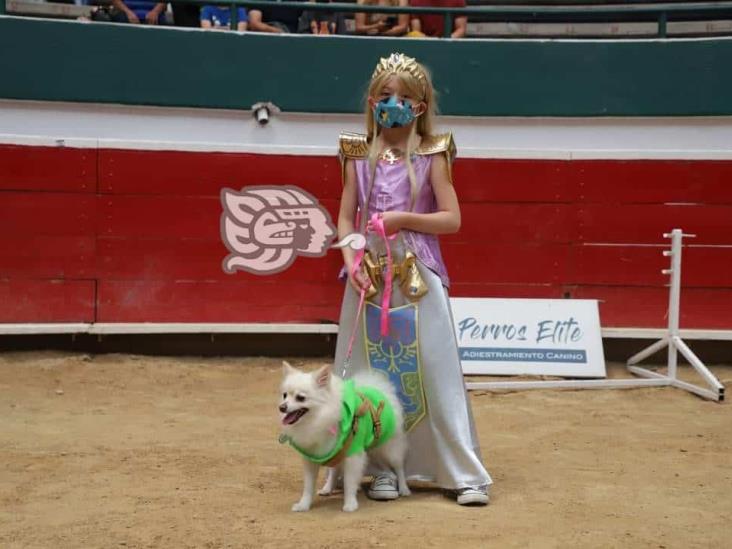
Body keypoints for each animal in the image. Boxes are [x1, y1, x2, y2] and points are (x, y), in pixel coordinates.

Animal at [278, 362, 408, 512]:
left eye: (300, 397)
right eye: (284, 395)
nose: (281, 407)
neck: (320, 418)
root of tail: (378, 388)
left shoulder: (353, 455)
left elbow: (349, 481)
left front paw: (350, 504)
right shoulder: (311, 458)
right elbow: (308, 487)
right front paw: (303, 505)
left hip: (389, 449)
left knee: (399, 468)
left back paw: (404, 489)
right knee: (334, 471)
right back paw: (327, 488)